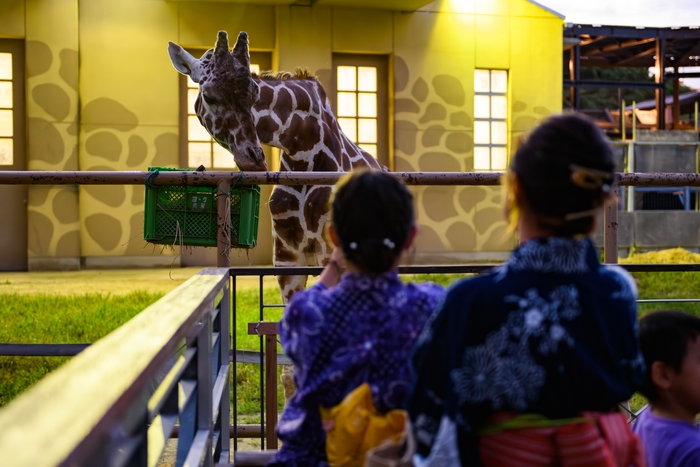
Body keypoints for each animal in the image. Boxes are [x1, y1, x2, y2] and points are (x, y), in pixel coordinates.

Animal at [170, 31, 388, 302]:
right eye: (208, 96)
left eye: (255, 96)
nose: (255, 160)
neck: (303, 157)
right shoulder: (286, 259)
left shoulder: (330, 252)